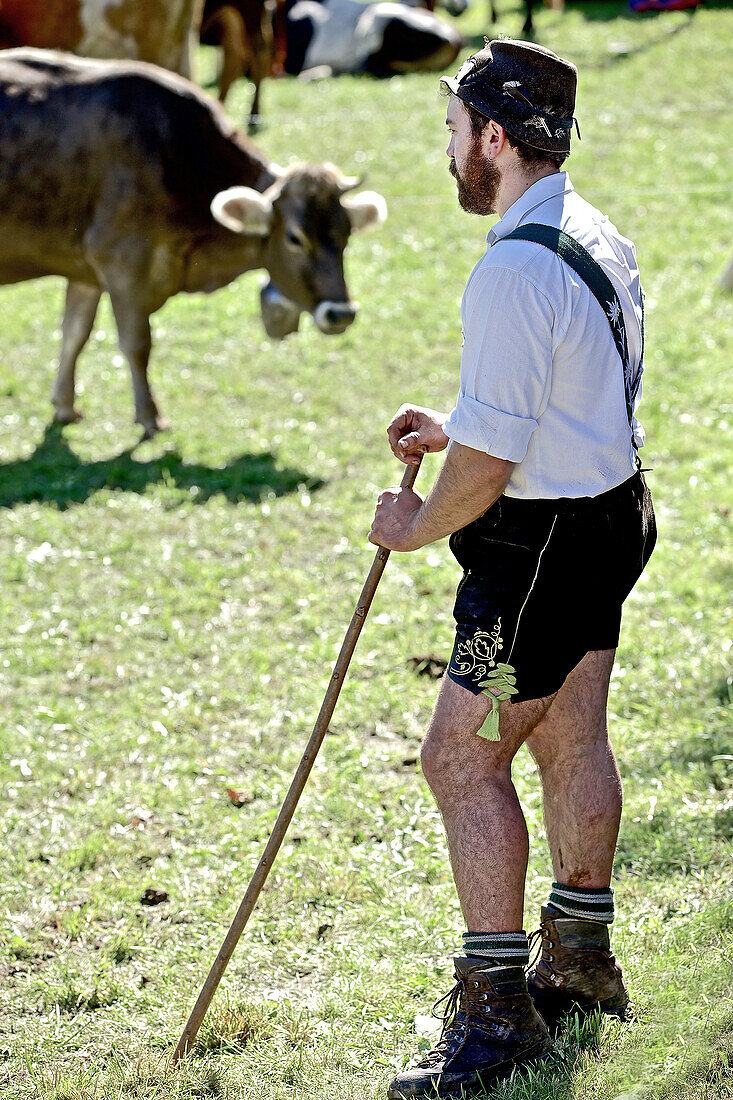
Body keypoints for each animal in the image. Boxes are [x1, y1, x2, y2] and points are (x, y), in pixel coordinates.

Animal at [0, 48, 385, 433]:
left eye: (346, 234)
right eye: (294, 238)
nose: (341, 314)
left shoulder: (84, 269)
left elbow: (74, 333)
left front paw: (65, 406)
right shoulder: (122, 261)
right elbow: (137, 342)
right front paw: (150, 416)